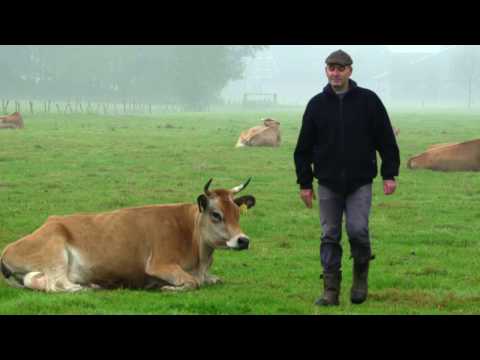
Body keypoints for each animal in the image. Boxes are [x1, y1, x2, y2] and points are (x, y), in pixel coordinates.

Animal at [0, 178, 255, 292]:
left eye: (237, 214)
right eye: (216, 214)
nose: (243, 240)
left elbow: (213, 279)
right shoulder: (160, 264)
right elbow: (192, 283)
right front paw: (166, 287)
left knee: (36, 281)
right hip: (55, 250)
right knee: (58, 284)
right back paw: (93, 287)